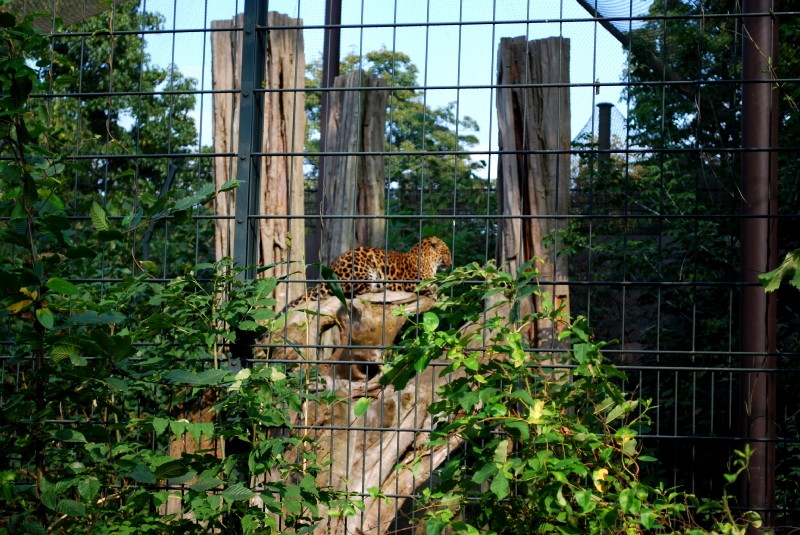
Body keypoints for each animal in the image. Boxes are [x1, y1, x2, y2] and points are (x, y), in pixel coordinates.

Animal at [284, 236, 452, 311]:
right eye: (447, 253)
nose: (451, 264)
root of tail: (331, 268)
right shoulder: (408, 282)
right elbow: (427, 287)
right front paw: (435, 293)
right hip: (364, 269)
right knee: (358, 291)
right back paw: (380, 288)